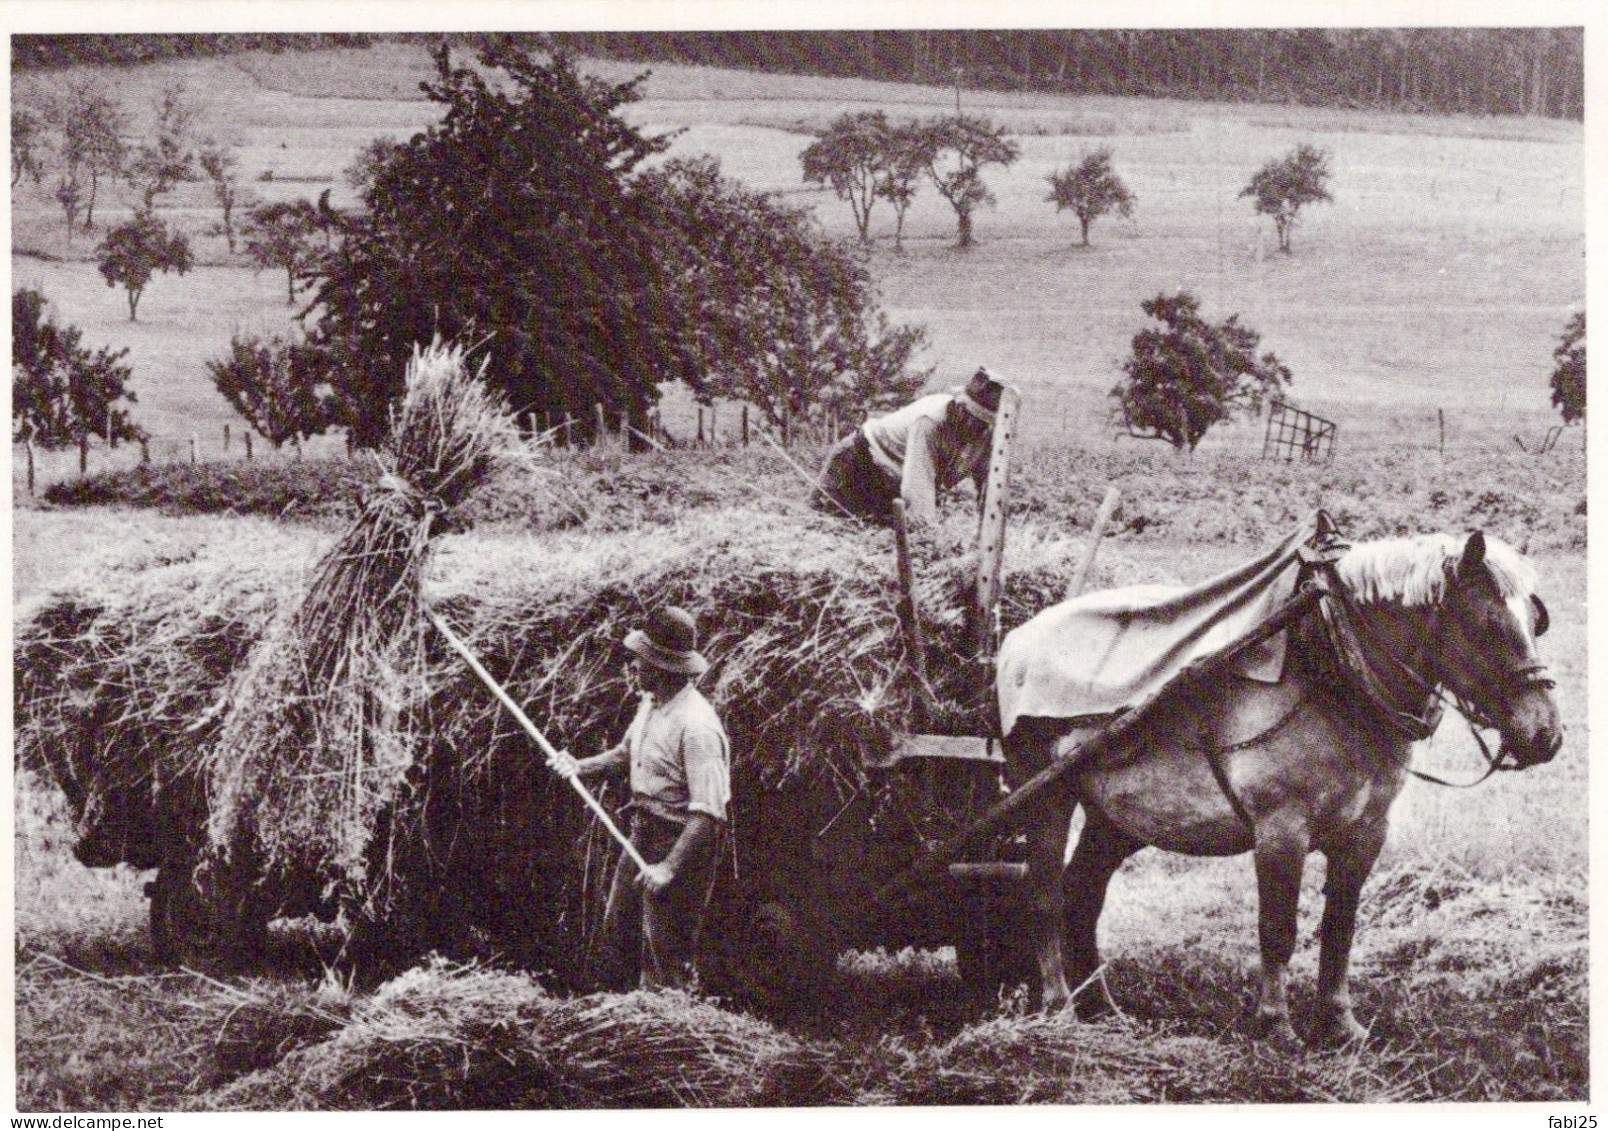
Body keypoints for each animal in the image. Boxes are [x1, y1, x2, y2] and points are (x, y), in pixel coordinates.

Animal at [1003, 530, 1556, 1055]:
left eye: (1536, 620)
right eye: (1487, 624)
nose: (1545, 734)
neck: (1335, 672)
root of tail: (1019, 640)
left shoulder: (1366, 832)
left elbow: (1340, 927)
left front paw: (1339, 1025)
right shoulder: (1281, 829)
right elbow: (1278, 929)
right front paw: (1276, 1026)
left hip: (1116, 817)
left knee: (1083, 895)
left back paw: (1102, 1008)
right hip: (1046, 794)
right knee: (1045, 894)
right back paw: (1058, 1007)